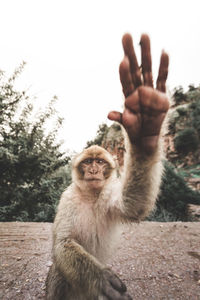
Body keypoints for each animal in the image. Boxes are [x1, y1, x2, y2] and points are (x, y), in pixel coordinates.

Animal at [45, 33, 170, 300]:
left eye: (100, 162)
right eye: (88, 162)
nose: (93, 170)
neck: (91, 196)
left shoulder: (108, 195)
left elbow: (133, 205)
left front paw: (145, 128)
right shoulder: (68, 198)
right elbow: (63, 243)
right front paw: (100, 276)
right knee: (60, 272)